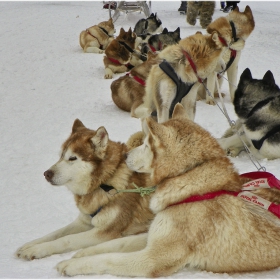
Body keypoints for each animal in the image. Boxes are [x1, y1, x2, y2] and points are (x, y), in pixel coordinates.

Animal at [16, 118, 154, 260]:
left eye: (72, 158)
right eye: (61, 156)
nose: (46, 174)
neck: (105, 182)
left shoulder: (105, 232)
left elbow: (66, 239)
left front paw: (37, 249)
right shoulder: (83, 222)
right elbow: (56, 233)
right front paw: (30, 245)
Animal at [55, 103, 280, 278]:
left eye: (147, 144)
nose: (125, 155)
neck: (194, 188)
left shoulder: (152, 258)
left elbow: (109, 259)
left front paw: (71, 264)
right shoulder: (151, 235)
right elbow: (114, 245)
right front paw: (82, 253)